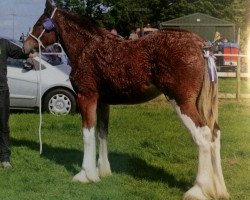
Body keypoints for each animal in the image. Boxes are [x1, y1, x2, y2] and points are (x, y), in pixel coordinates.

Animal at [22, 0, 229, 199]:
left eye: (39, 23)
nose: (26, 47)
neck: (86, 48)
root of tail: (200, 44)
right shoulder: (103, 102)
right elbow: (102, 133)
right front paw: (102, 171)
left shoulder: (86, 97)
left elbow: (87, 134)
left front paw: (85, 175)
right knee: (215, 133)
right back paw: (219, 189)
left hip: (182, 102)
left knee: (202, 135)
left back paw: (199, 190)